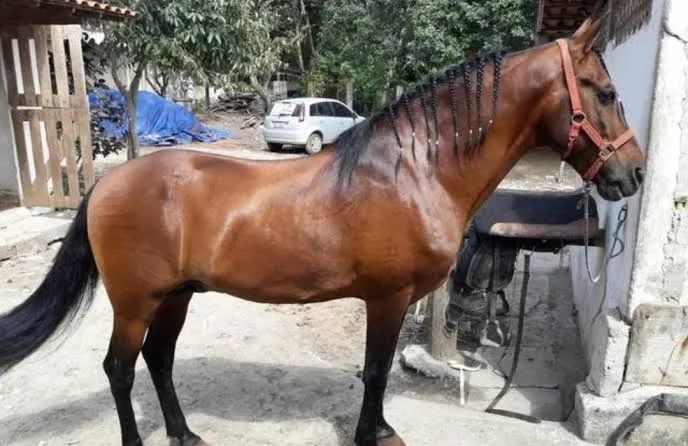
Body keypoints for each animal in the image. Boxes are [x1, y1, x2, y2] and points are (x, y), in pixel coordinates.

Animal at [0, 5, 645, 446]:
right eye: (606, 91)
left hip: (176, 295)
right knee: (120, 367)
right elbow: (376, 370)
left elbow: (374, 371)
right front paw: (375, 433)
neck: (417, 172)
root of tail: (106, 184)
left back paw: (185, 433)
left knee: (158, 360)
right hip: (136, 301)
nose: (634, 174)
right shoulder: (389, 297)